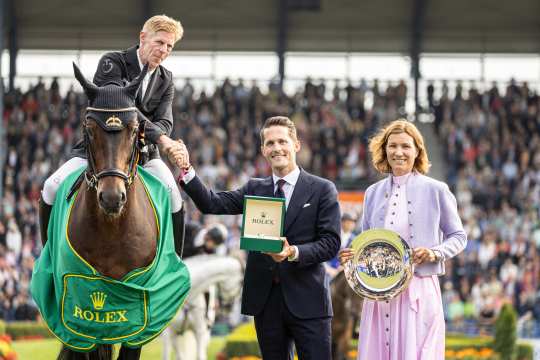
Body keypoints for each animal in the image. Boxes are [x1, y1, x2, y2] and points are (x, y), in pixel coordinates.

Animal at [30, 64, 190, 360]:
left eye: (134, 129)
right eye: (90, 129)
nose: (112, 198)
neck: (112, 229)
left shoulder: (141, 305)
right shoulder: (81, 300)